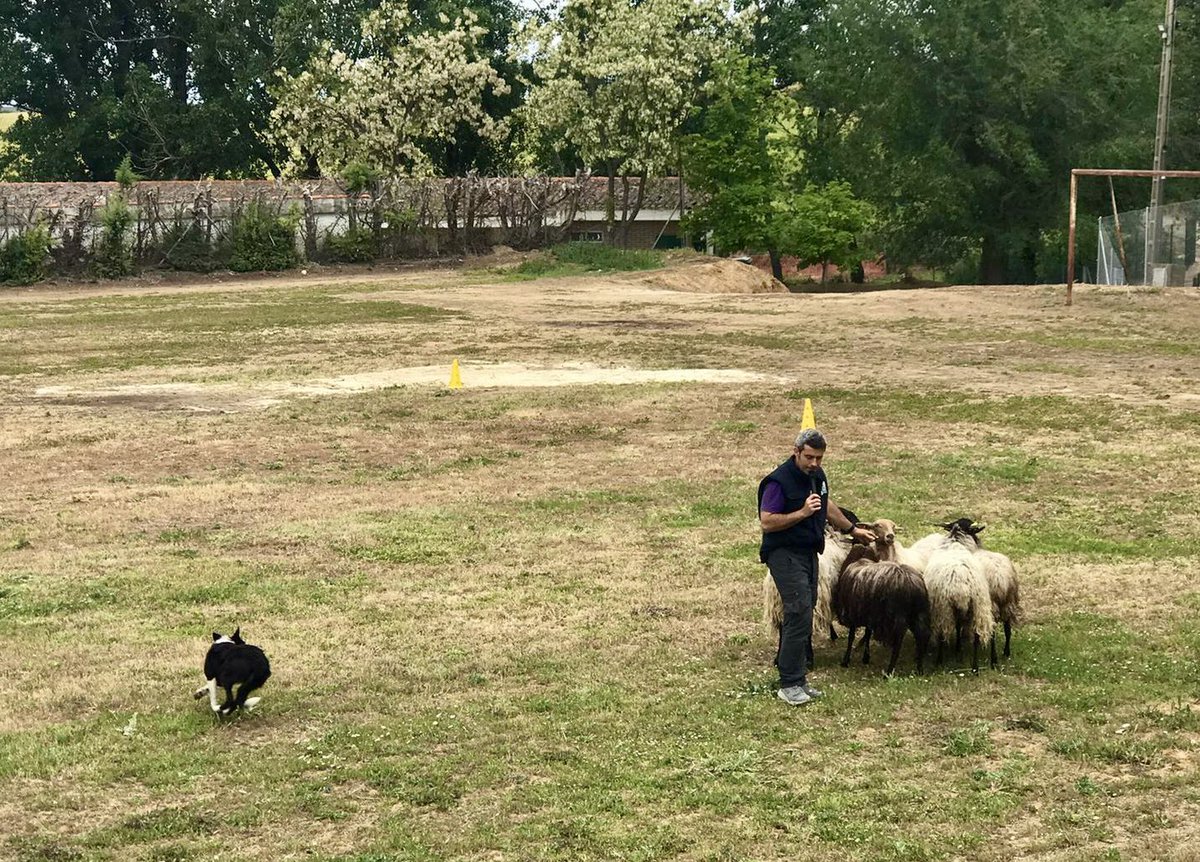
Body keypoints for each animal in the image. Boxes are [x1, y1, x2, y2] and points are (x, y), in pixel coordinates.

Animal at [830, 523, 931, 677]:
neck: (861, 557)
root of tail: (910, 582)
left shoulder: (853, 612)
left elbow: (851, 636)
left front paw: (846, 661)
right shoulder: (870, 613)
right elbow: (867, 633)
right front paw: (865, 658)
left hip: (895, 616)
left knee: (898, 642)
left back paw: (889, 671)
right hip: (920, 613)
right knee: (922, 637)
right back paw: (919, 669)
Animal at [916, 521, 993, 677]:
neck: (956, 541)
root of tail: (961, 583)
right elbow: (959, 627)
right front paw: (958, 649)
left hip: (943, 609)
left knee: (942, 634)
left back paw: (939, 661)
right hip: (978, 607)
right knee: (976, 636)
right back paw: (975, 668)